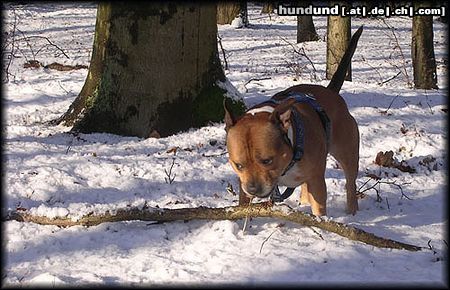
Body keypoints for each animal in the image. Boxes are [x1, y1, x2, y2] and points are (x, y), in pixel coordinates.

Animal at [223, 26, 364, 215]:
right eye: (238, 165)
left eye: (267, 161)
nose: (253, 189)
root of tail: (332, 93)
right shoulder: (243, 184)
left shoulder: (317, 180)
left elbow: (319, 208)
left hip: (347, 152)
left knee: (350, 181)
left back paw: (352, 211)